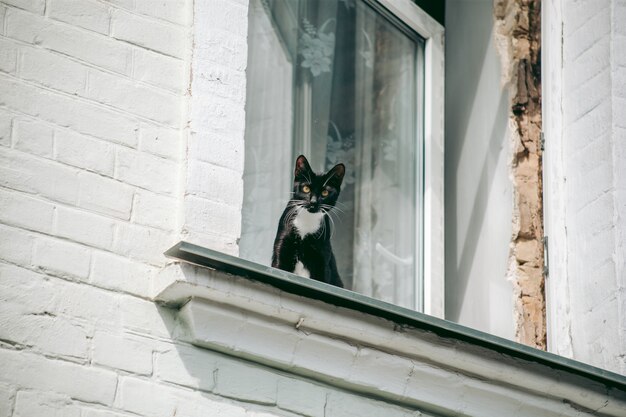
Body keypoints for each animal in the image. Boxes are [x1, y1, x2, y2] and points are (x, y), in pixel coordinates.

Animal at [270, 154, 344, 288]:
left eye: (325, 192)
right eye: (306, 188)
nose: (313, 202)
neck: (307, 221)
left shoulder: (323, 256)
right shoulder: (282, 244)